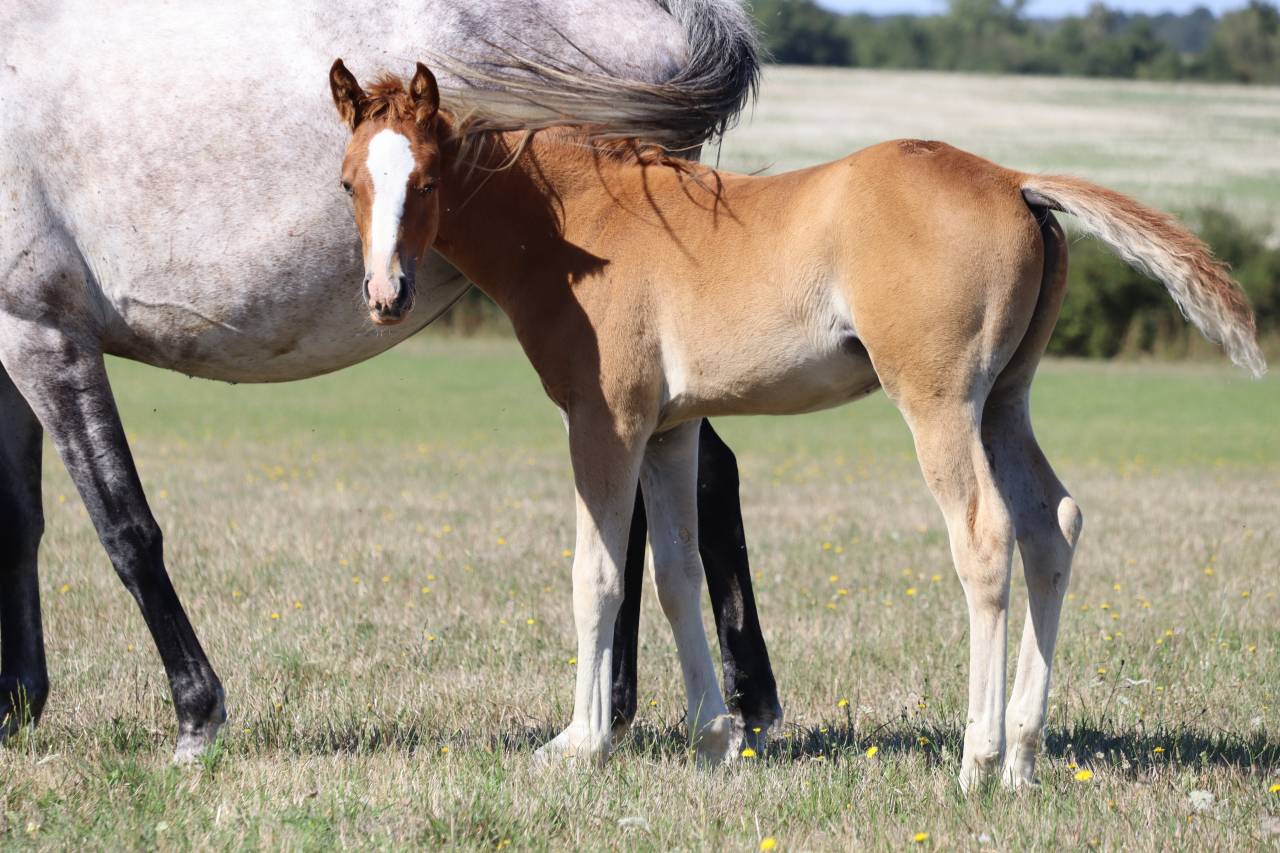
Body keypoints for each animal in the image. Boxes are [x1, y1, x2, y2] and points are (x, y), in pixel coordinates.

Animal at [0, 0, 782, 761]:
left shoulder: (41, 334)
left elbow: (124, 526)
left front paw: (197, 715)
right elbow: (22, 519)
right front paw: (16, 705)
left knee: (684, 488)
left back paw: (714, 708)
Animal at [330, 61, 1264, 785]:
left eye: (427, 181)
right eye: (350, 182)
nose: (385, 296)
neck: (580, 225)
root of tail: (1011, 180)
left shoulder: (606, 421)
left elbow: (598, 576)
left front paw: (582, 743)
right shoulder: (670, 429)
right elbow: (677, 573)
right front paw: (714, 739)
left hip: (940, 402)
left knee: (988, 537)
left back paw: (979, 759)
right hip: (1006, 399)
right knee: (1053, 524)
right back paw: (1027, 758)